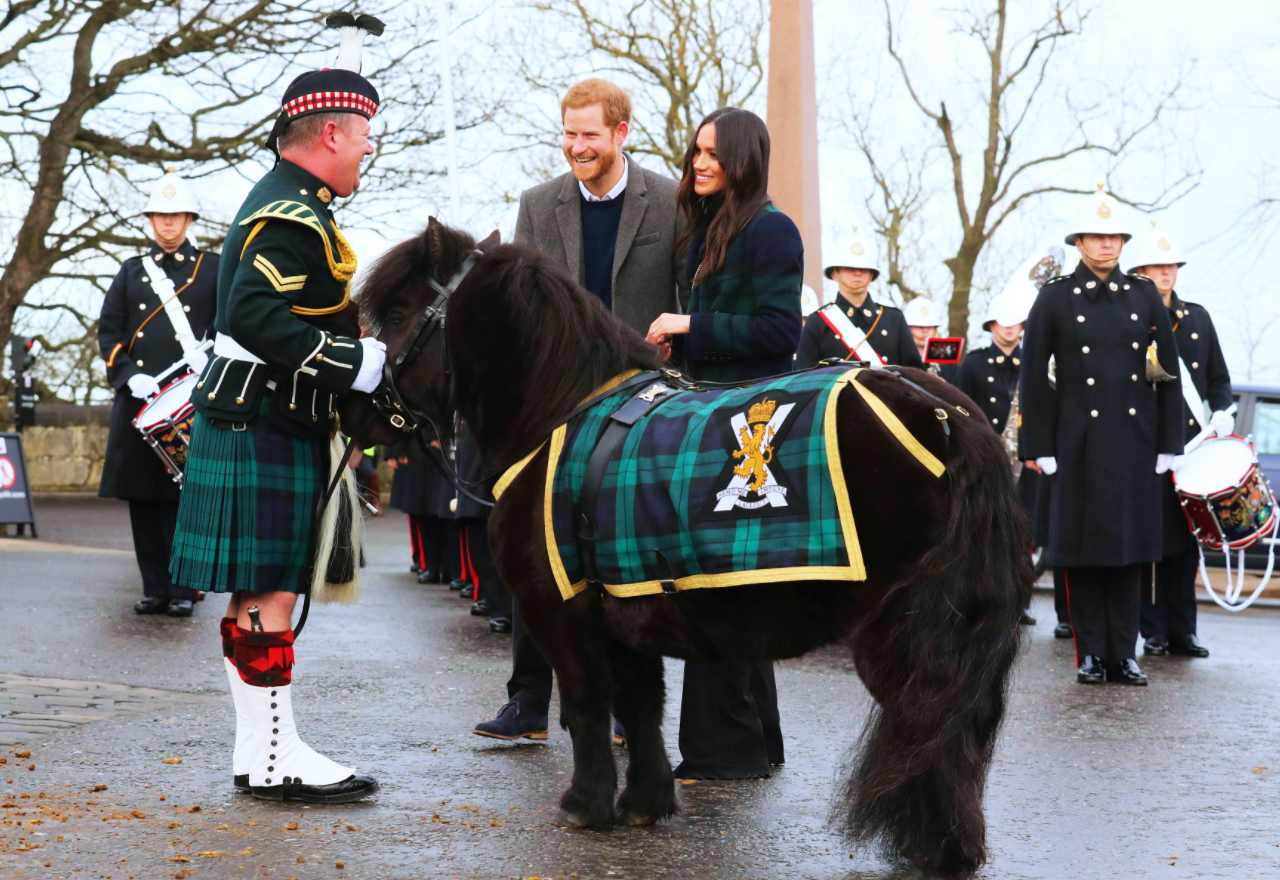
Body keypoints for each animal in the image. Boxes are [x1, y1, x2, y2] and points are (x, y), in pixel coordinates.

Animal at [343, 220, 1029, 880]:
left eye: (399, 315)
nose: (354, 411)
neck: (558, 414)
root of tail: (945, 413)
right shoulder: (627, 603)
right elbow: (642, 704)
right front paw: (646, 802)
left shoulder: (558, 611)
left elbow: (588, 703)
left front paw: (586, 805)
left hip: (899, 632)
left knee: (931, 725)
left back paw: (938, 847)